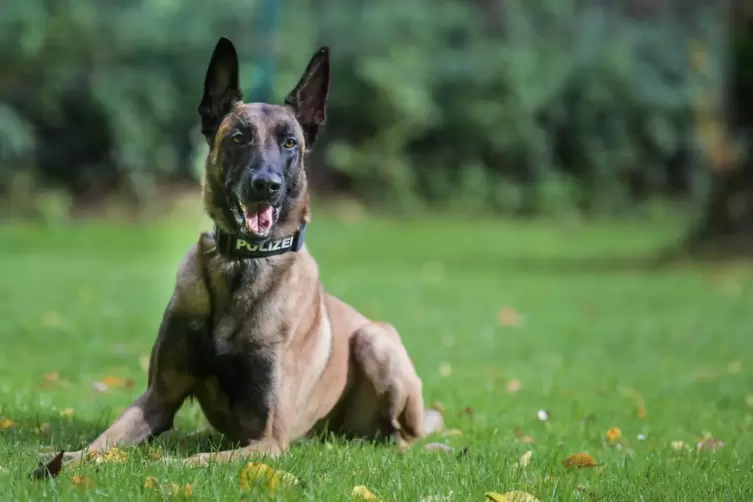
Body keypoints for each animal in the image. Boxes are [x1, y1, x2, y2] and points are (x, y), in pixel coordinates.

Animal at [60, 36, 446, 466]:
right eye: (239, 138)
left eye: (290, 142)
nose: (266, 185)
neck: (242, 264)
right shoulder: (156, 399)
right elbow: (105, 441)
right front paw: (67, 460)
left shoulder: (268, 439)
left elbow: (192, 461)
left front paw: (163, 464)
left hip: (375, 341)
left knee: (401, 436)